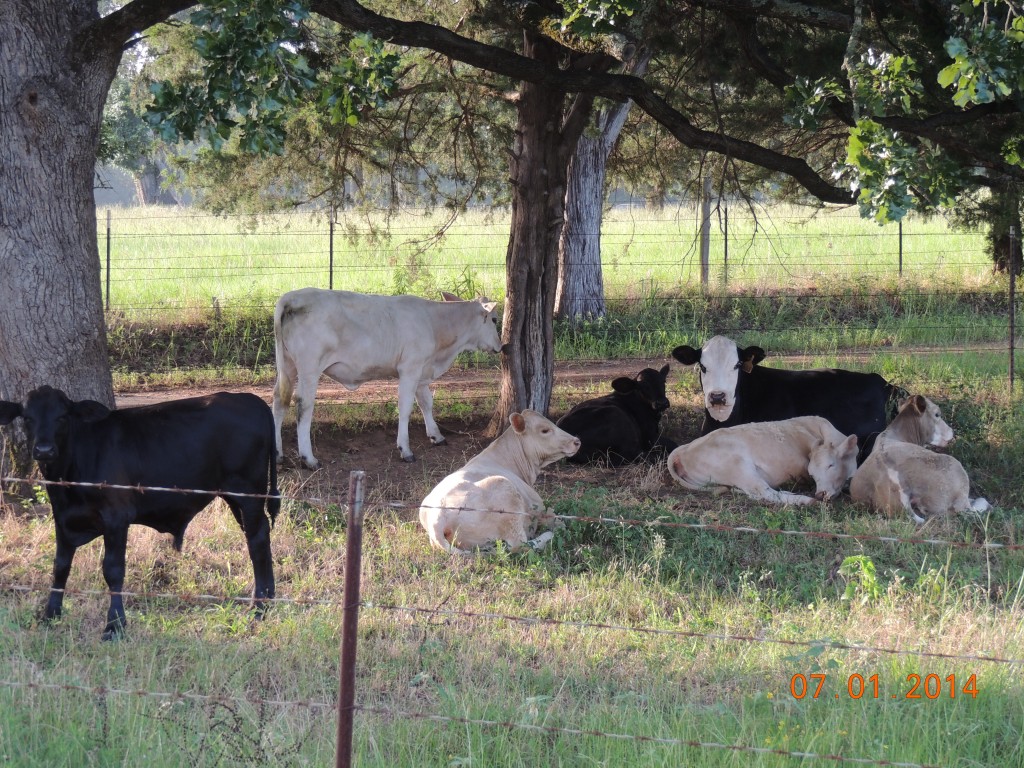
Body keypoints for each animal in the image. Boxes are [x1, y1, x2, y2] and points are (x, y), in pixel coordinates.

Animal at [0, 386, 279, 640]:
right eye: (27, 417)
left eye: (62, 416)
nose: (44, 450)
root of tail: (249, 399)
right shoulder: (62, 517)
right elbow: (60, 566)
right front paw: (50, 615)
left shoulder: (116, 517)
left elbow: (113, 570)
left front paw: (114, 625)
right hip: (234, 496)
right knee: (260, 534)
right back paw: (268, 599)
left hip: (248, 493)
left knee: (257, 540)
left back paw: (259, 606)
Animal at [272, 288, 502, 468]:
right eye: (494, 319)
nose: (501, 346)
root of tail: (292, 297)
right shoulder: (410, 368)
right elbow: (406, 407)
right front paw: (405, 449)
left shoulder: (421, 371)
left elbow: (426, 403)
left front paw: (436, 436)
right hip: (309, 367)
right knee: (304, 405)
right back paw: (309, 458)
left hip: (286, 366)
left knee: (279, 401)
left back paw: (278, 454)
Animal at [419, 410, 581, 554]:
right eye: (545, 430)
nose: (577, 441)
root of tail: (437, 519)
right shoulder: (539, 508)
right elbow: (558, 519)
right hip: (506, 494)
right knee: (520, 545)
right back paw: (549, 535)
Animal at [667, 415, 859, 505]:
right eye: (812, 473)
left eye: (831, 465)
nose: (820, 494)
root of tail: (684, 448)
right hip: (740, 468)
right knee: (763, 492)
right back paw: (803, 500)